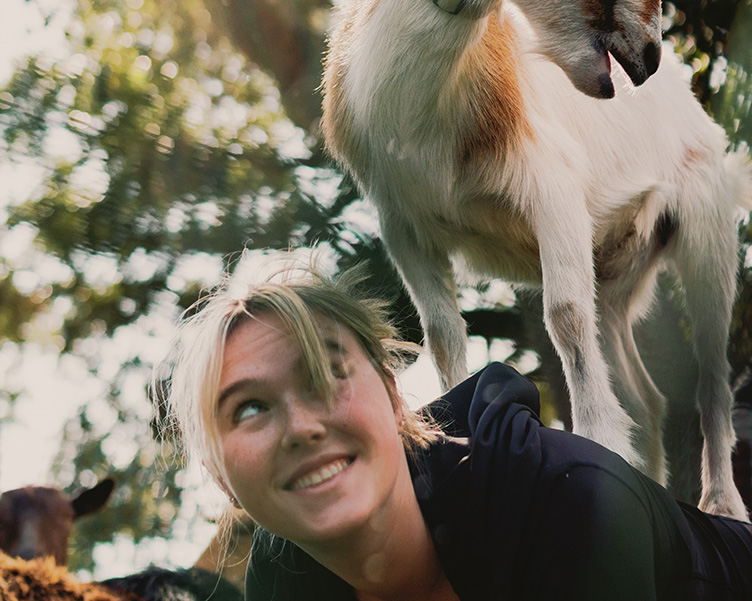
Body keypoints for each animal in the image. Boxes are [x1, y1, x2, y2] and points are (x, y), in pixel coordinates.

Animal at [320, 0, 752, 520]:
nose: (650, 54)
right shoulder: (403, 226)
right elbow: (443, 336)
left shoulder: (551, 187)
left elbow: (565, 316)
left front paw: (598, 442)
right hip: (614, 276)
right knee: (645, 396)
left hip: (707, 224)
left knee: (713, 376)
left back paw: (722, 505)